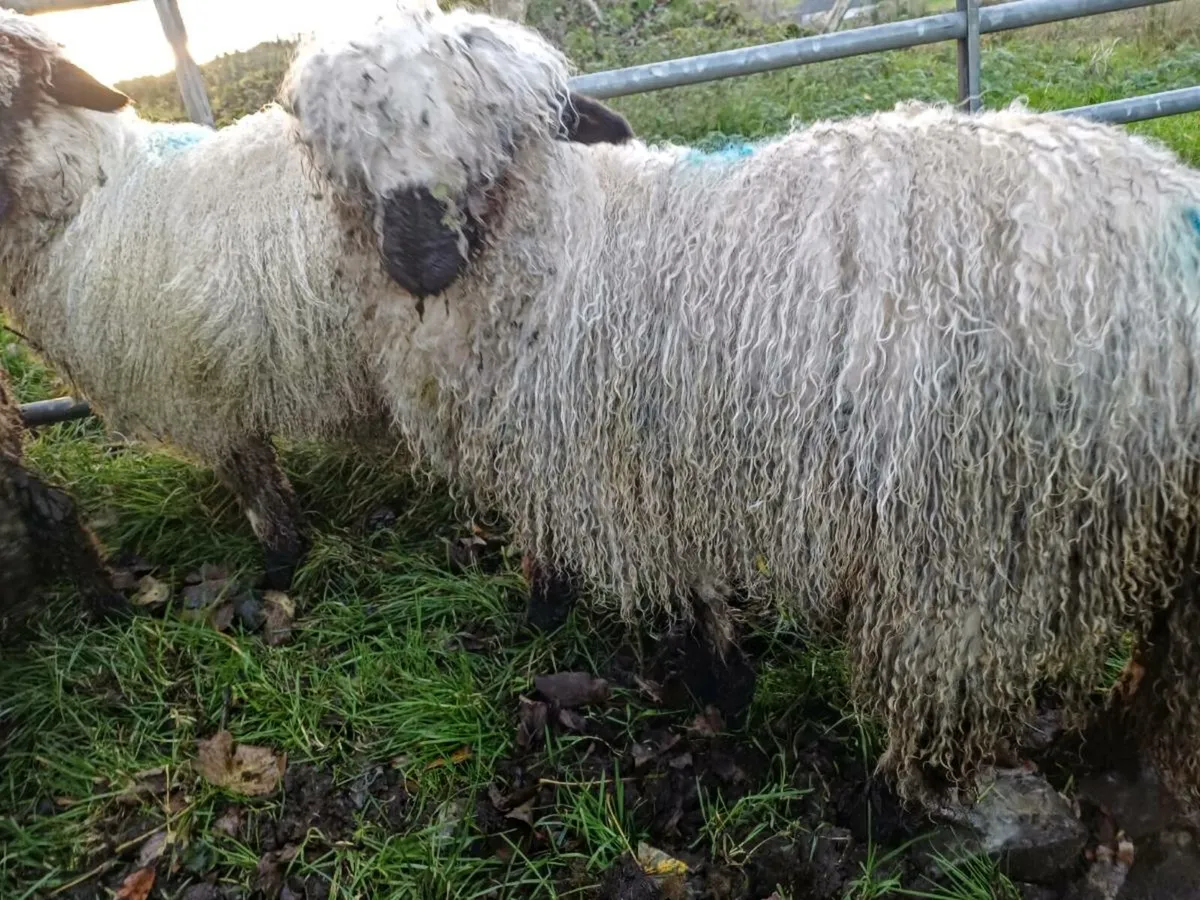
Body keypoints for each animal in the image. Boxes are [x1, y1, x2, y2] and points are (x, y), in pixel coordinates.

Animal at [280, 5, 1200, 811]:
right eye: (346, 143)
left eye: (499, 142)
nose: (420, 255)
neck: (557, 248)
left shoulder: (617, 457)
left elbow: (659, 575)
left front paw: (706, 677)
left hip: (981, 535)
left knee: (945, 685)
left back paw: (899, 806)